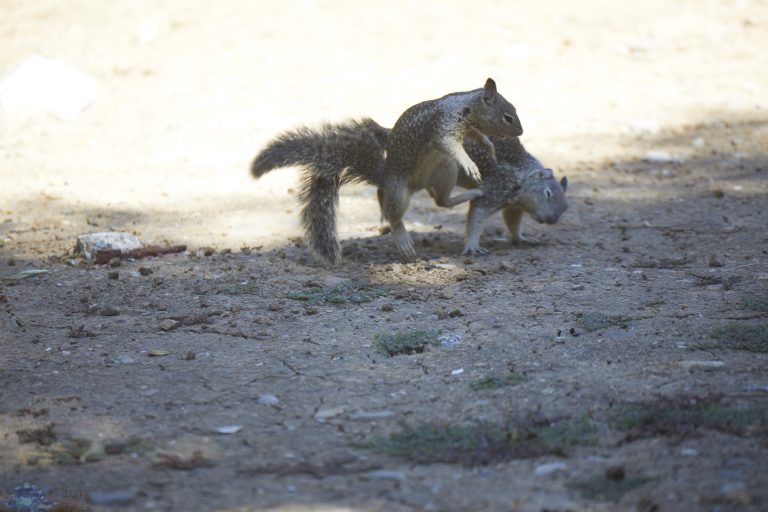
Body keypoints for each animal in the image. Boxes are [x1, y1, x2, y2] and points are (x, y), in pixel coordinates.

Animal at [251, 119, 568, 265]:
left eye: (565, 207)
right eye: (548, 194)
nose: (551, 221)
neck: (521, 178)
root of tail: (388, 170)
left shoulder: (513, 204)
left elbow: (513, 222)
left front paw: (522, 238)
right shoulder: (496, 189)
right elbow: (476, 219)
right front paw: (472, 247)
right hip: (439, 171)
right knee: (416, 206)